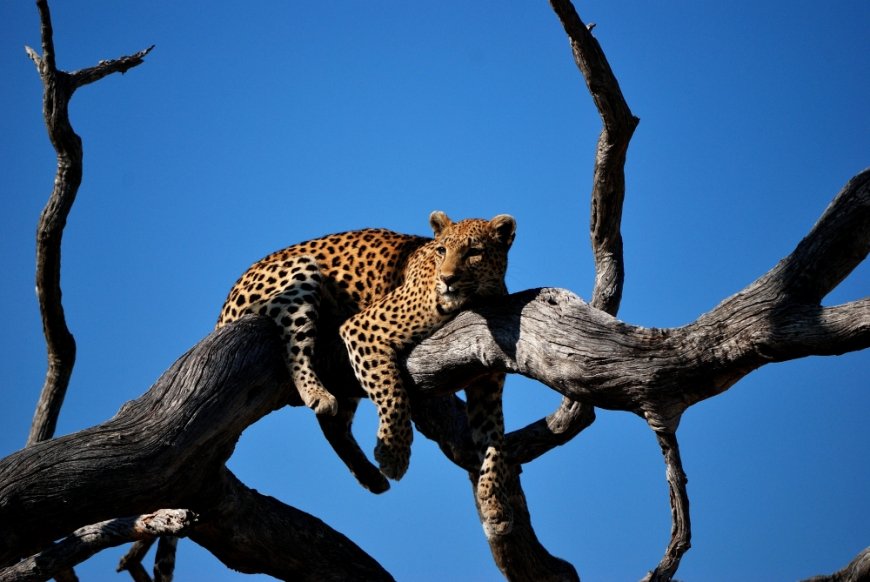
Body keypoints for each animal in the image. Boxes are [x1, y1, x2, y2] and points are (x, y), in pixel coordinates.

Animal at [216, 211, 516, 535]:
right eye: (441, 250)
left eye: (474, 252)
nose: (447, 279)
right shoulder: (363, 328)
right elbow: (392, 392)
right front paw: (394, 455)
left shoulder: (487, 387)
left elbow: (494, 440)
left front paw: (495, 505)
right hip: (300, 273)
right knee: (293, 346)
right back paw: (317, 393)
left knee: (333, 425)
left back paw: (370, 476)